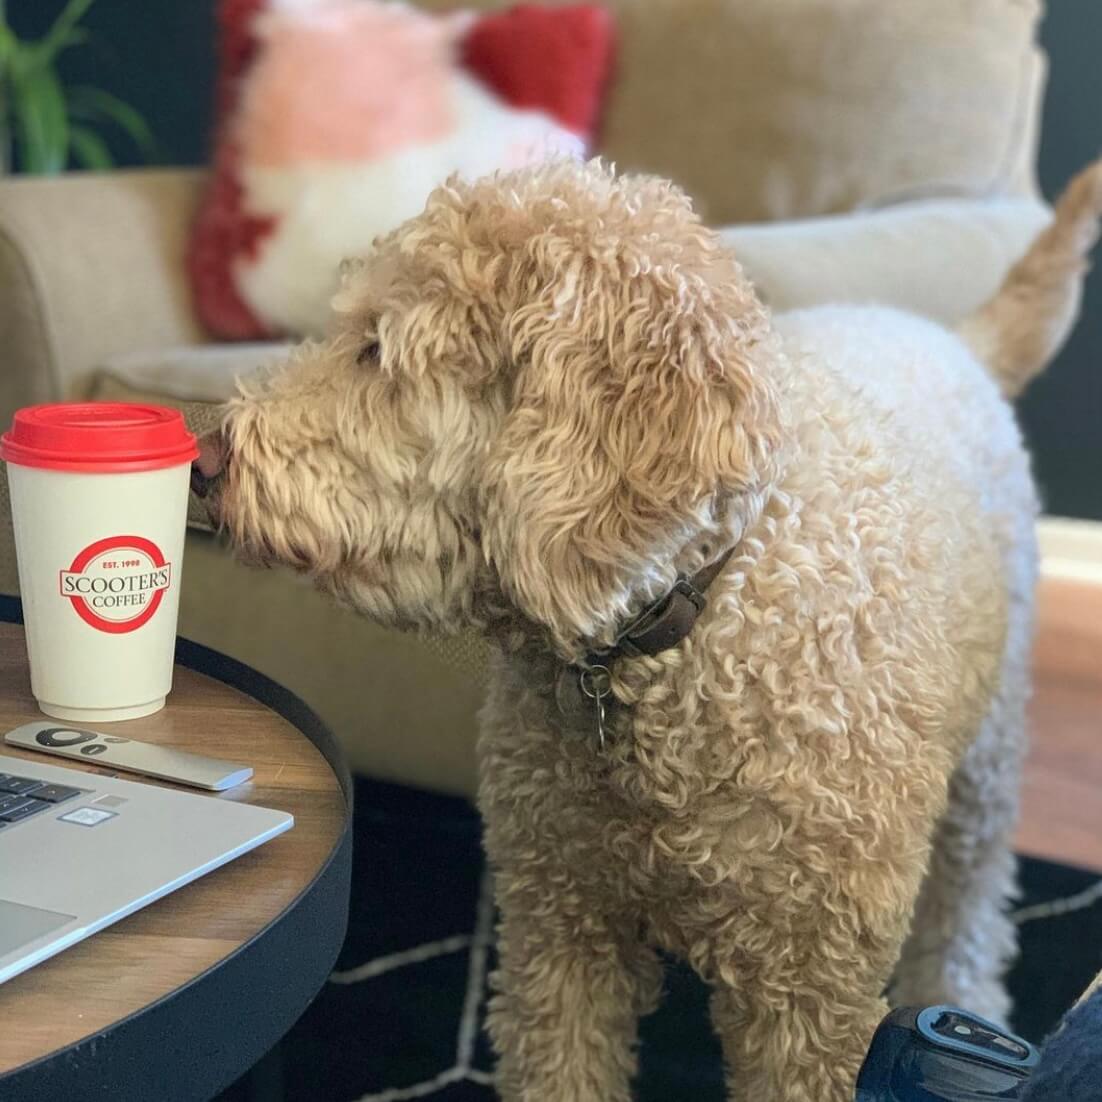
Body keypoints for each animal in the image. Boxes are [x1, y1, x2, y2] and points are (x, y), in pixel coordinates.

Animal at [196, 157, 1102, 1102]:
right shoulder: (559, 932)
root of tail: (954, 340)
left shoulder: (808, 1000)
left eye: (375, 349)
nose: (204, 460)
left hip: (987, 763)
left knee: (969, 911)